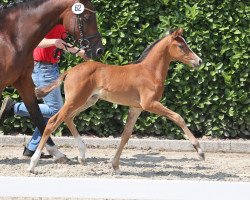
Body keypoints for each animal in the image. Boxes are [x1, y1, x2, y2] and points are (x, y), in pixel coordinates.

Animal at [0, 0, 103, 159]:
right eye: (86, 18)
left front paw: (57, 153)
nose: (99, 50)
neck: (11, 38)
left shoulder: (23, 81)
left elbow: (37, 115)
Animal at [28, 27, 204, 173]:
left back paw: (82, 156)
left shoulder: (136, 108)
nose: (199, 61)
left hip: (87, 101)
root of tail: (69, 71)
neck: (150, 71)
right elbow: (178, 117)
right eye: (181, 46)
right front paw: (199, 151)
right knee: (53, 121)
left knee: (68, 118)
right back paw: (33, 164)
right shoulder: (150, 104)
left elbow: (126, 135)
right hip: (75, 100)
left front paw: (115, 166)